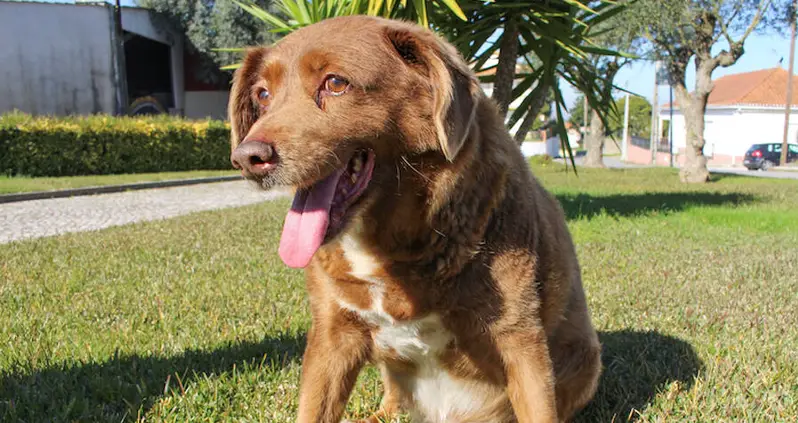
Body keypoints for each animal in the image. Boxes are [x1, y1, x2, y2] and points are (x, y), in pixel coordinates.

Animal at [228, 14, 604, 422]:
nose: (246, 157)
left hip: (585, 360)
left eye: (336, 83)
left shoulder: (520, 339)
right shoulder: (332, 334)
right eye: (263, 95)